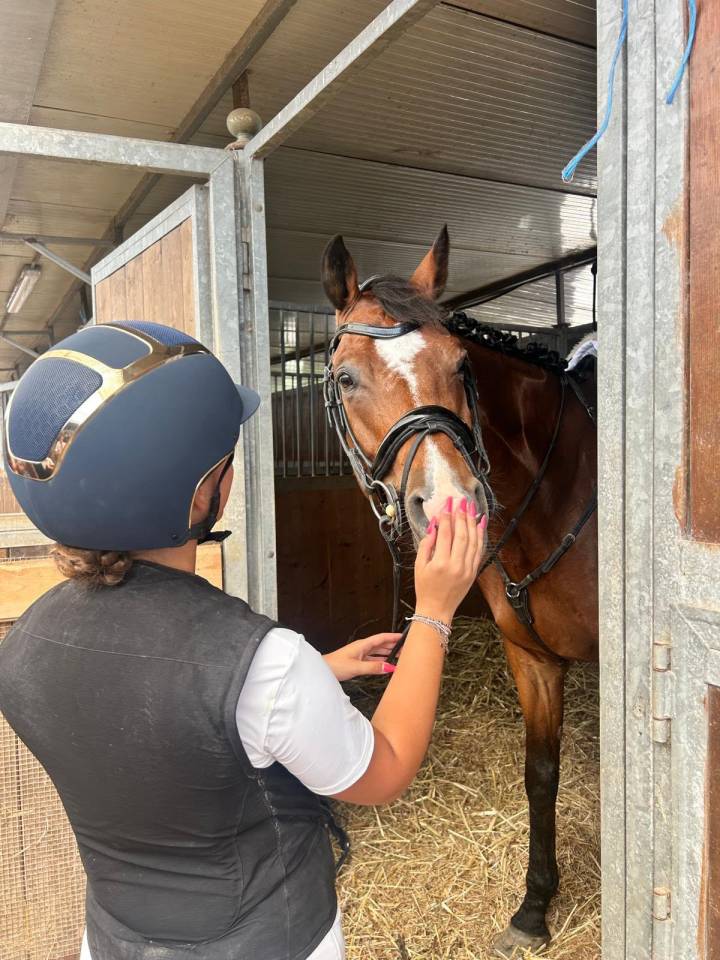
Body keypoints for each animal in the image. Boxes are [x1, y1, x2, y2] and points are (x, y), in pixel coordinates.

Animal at [321, 228, 598, 958]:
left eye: (461, 366)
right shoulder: (532, 660)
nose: (451, 503)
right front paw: (534, 908)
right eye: (346, 378)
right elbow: (541, 774)